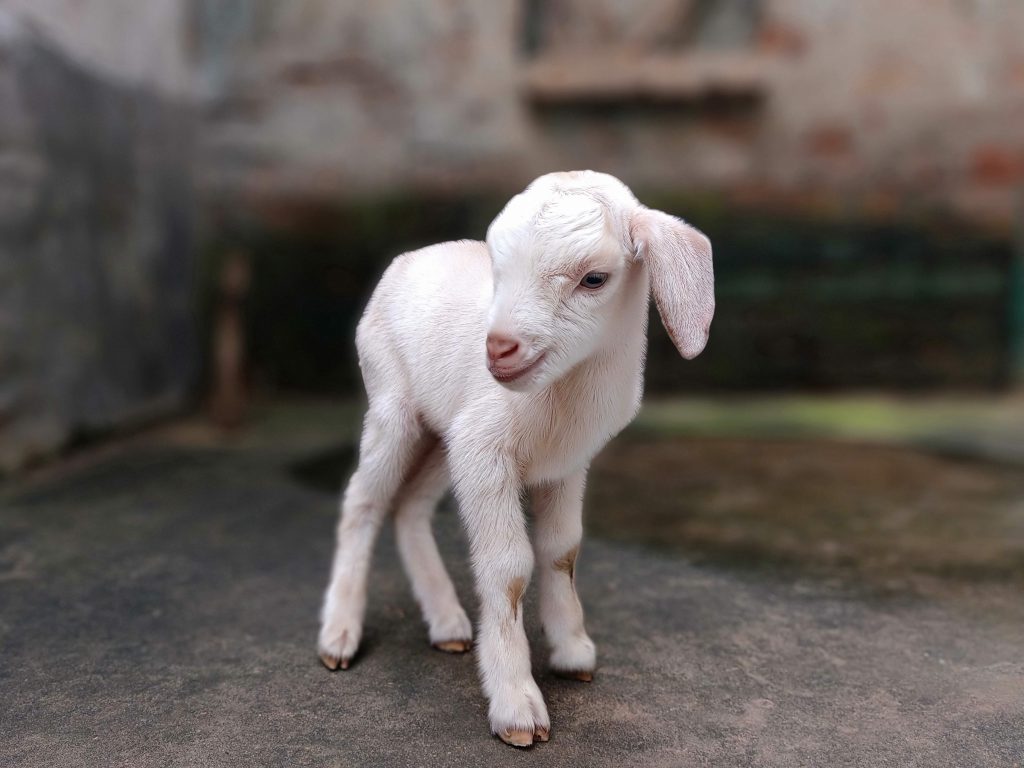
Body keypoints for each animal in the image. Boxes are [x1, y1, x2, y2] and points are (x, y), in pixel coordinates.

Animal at [317, 170, 714, 747]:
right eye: (499, 271)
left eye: (594, 279)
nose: (498, 348)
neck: (561, 396)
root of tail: (406, 259)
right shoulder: (486, 454)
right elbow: (508, 569)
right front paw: (516, 704)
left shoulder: (565, 464)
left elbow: (562, 550)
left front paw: (572, 651)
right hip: (393, 405)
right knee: (361, 503)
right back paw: (339, 634)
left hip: (444, 434)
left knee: (410, 508)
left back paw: (448, 623)